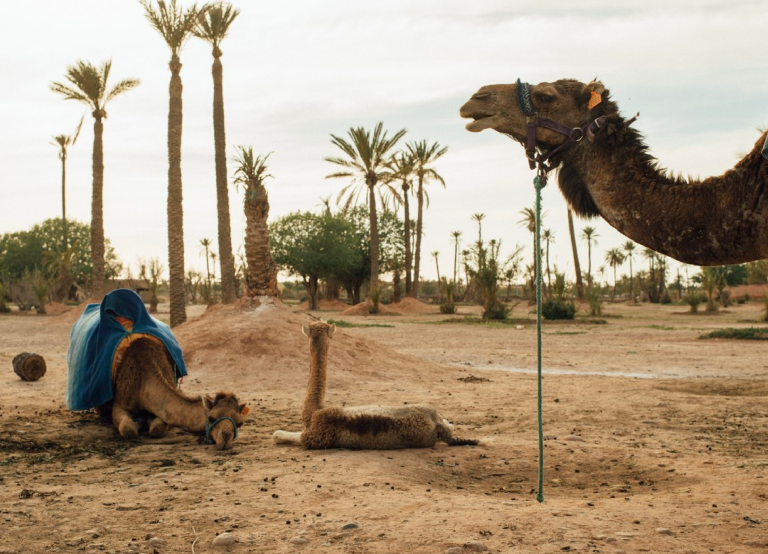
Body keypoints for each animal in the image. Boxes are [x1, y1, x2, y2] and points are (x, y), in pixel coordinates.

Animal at [95, 336, 246, 448]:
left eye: (239, 423)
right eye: (211, 418)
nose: (225, 439)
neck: (143, 381)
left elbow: (158, 428)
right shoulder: (120, 405)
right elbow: (128, 429)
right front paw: (137, 424)